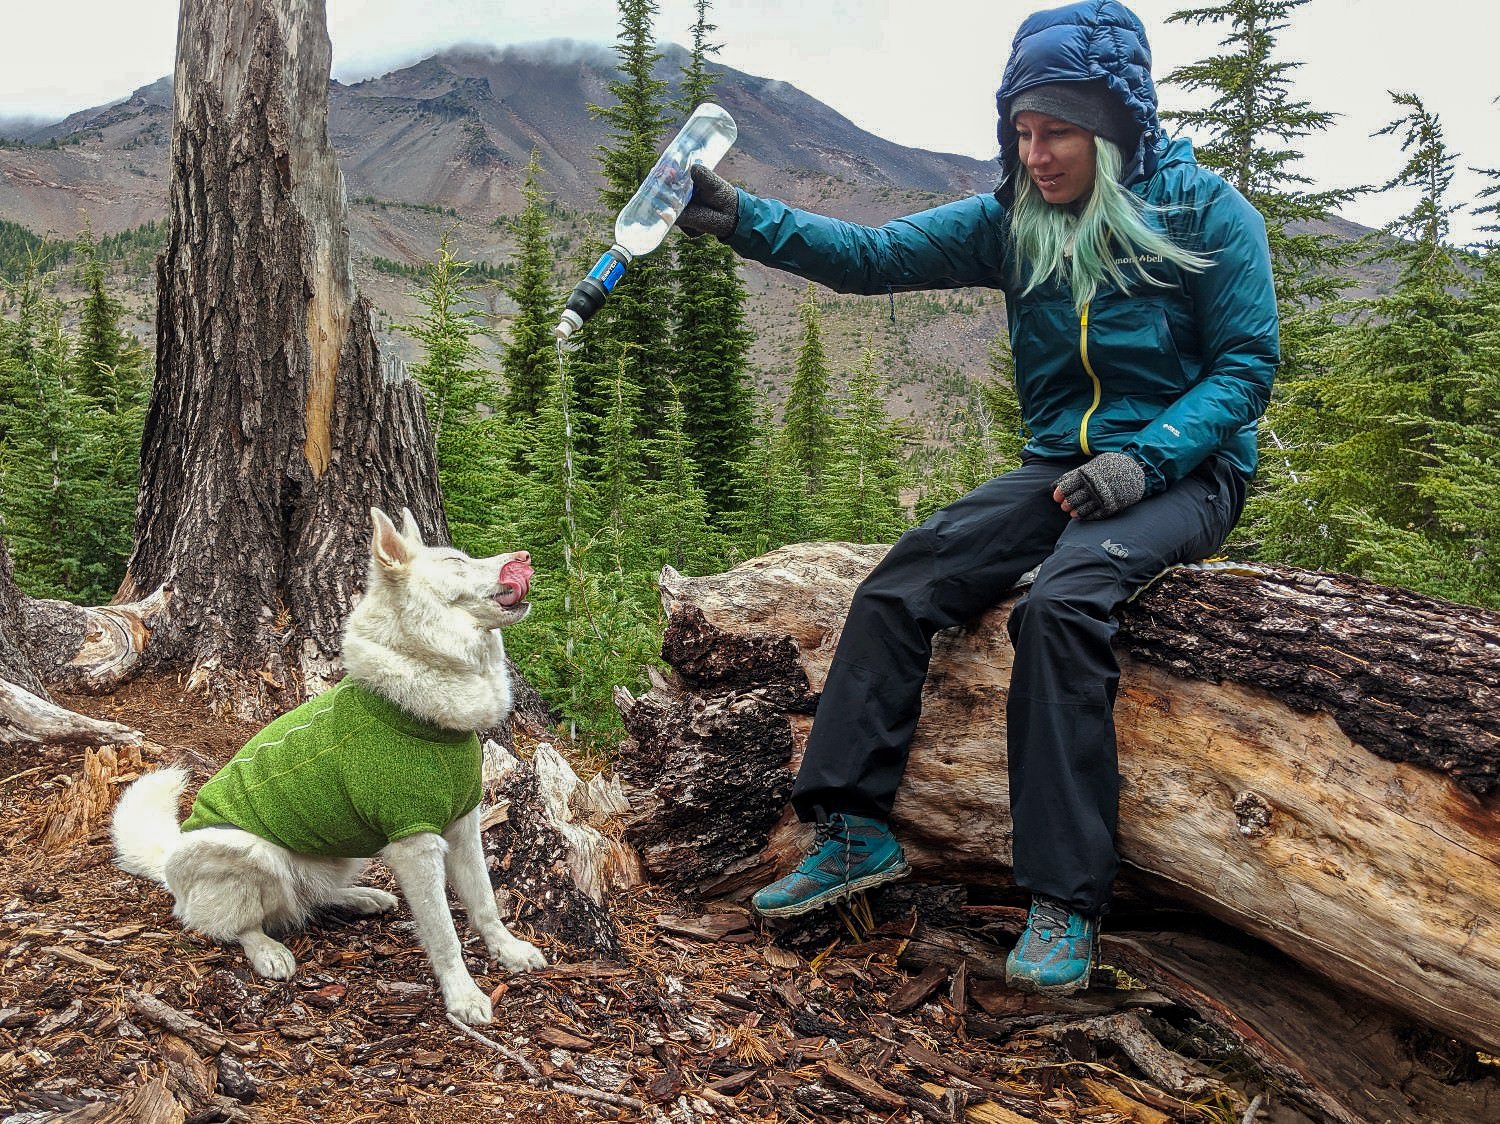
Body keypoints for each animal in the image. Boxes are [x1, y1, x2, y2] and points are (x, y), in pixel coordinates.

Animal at [112, 507, 546, 1026]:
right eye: (455, 562)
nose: (525, 556)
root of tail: (169, 861)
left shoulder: (463, 824)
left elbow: (484, 903)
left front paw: (509, 951)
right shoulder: (415, 844)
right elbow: (444, 932)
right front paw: (462, 996)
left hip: (346, 851)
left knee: (310, 896)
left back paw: (361, 897)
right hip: (249, 851)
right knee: (233, 923)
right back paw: (268, 951)